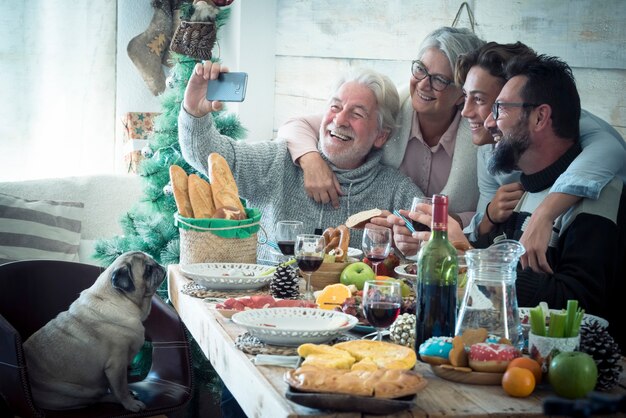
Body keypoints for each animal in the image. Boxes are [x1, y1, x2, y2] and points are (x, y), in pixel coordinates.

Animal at [23, 251, 166, 412]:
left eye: (153, 262)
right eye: (148, 269)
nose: (160, 266)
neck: (118, 300)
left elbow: (116, 387)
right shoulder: (117, 365)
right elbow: (121, 388)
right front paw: (130, 404)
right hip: (79, 391)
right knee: (96, 399)